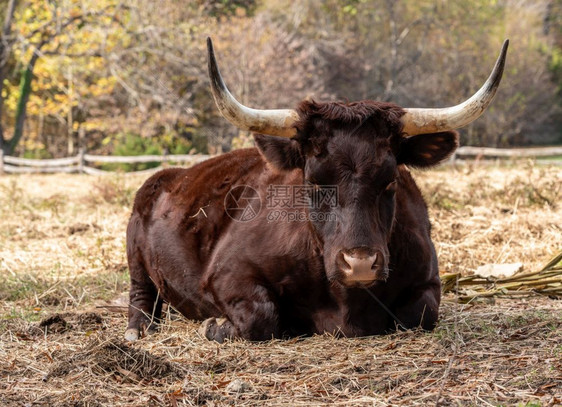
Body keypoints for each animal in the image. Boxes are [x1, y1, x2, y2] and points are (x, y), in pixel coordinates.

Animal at [123, 39, 508, 344]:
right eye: (314, 182)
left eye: (390, 181)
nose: (360, 263)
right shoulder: (226, 273)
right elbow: (260, 316)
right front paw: (216, 325)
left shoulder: (429, 281)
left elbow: (421, 314)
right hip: (135, 250)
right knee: (141, 294)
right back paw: (138, 329)